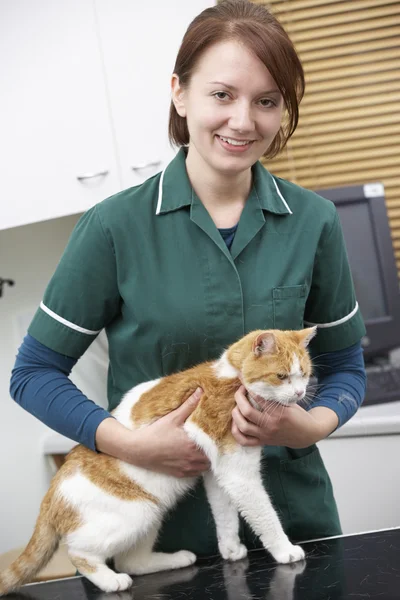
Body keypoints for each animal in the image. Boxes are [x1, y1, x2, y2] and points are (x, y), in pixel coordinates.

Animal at [0, 328, 318, 596]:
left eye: (303, 374)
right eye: (281, 376)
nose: (300, 392)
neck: (232, 376)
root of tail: (53, 491)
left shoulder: (218, 474)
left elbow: (225, 514)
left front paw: (230, 549)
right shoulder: (238, 473)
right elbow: (264, 515)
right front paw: (284, 550)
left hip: (151, 512)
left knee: (131, 561)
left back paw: (176, 559)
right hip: (133, 513)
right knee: (80, 553)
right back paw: (110, 580)